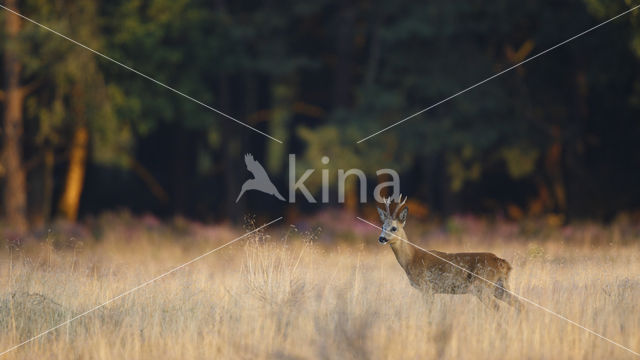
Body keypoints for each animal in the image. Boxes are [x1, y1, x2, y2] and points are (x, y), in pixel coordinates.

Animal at [378, 195, 524, 310]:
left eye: (394, 228)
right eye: (382, 226)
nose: (381, 238)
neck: (412, 259)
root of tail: (503, 263)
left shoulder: (426, 287)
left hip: (481, 286)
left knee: (498, 309)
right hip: (500, 286)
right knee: (520, 305)